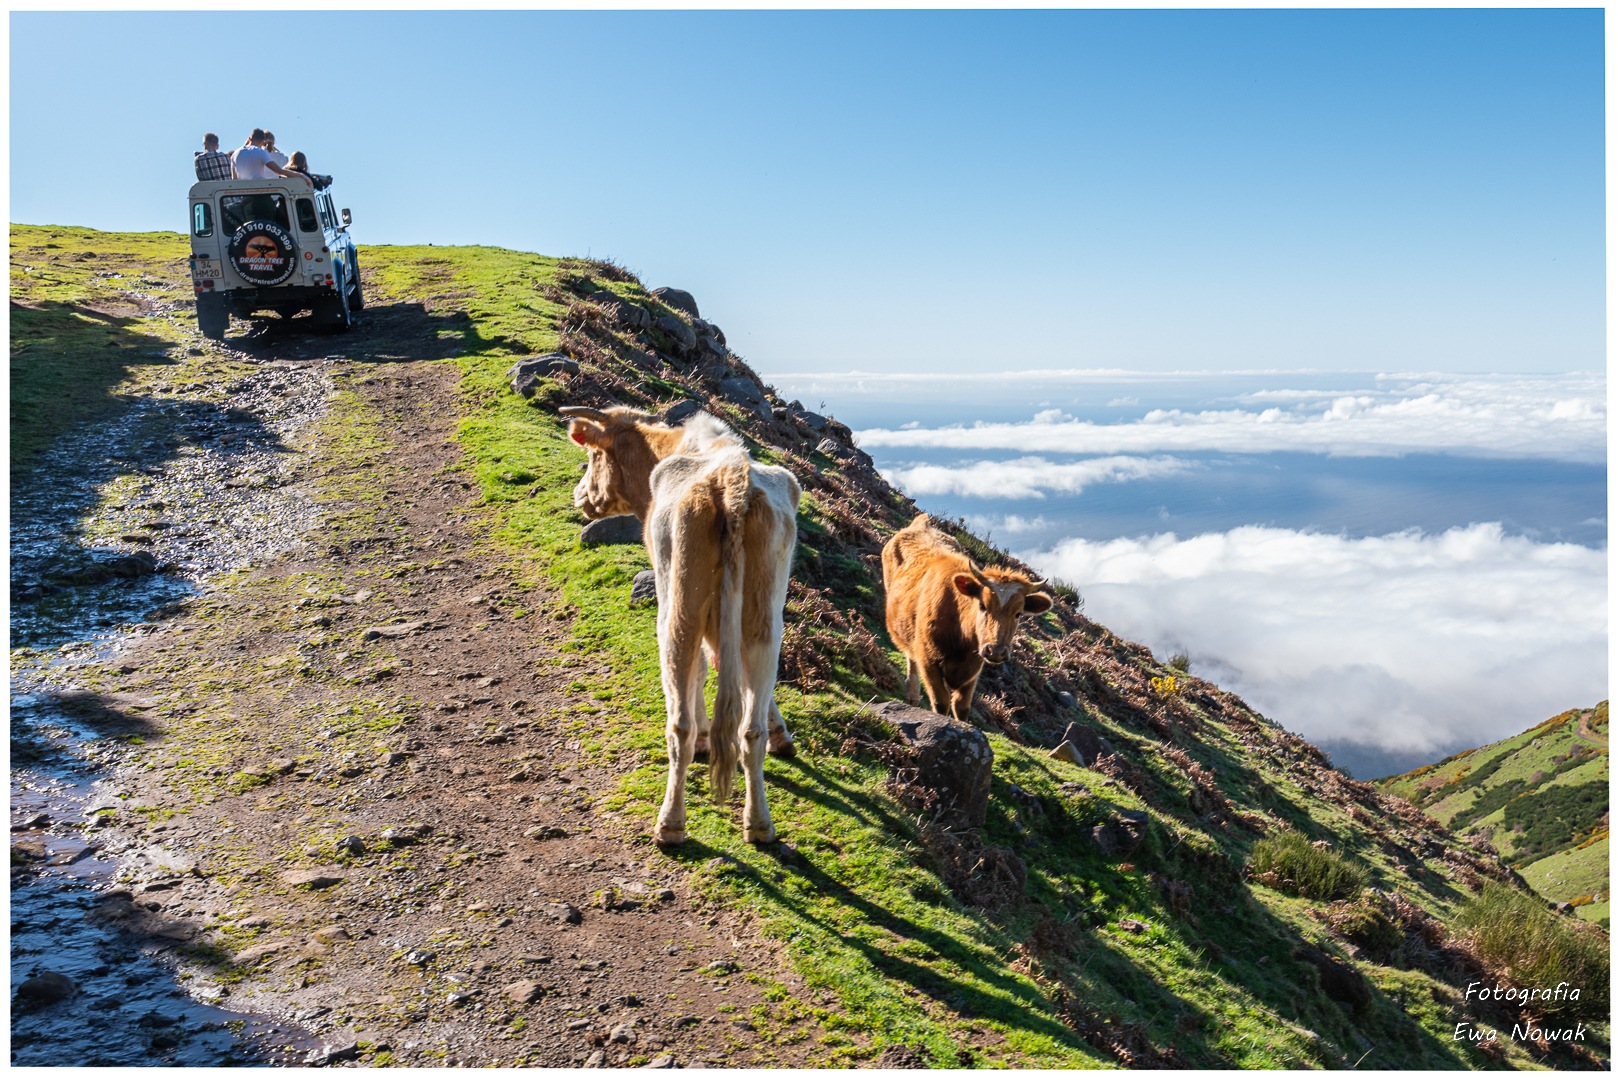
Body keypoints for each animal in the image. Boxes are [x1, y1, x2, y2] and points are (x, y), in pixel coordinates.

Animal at [563, 403, 802, 841]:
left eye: (593, 456)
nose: (580, 495)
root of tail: (732, 480)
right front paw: (781, 733)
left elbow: (703, 671)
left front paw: (708, 733)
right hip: (764, 613)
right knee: (750, 727)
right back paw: (759, 822)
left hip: (678, 608)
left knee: (680, 723)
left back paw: (670, 822)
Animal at [880, 514, 1054, 725]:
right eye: (983, 605)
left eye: (1018, 613)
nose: (996, 651)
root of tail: (921, 524)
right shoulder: (928, 660)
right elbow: (941, 702)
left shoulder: (974, 669)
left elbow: (961, 707)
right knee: (909, 655)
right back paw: (912, 694)